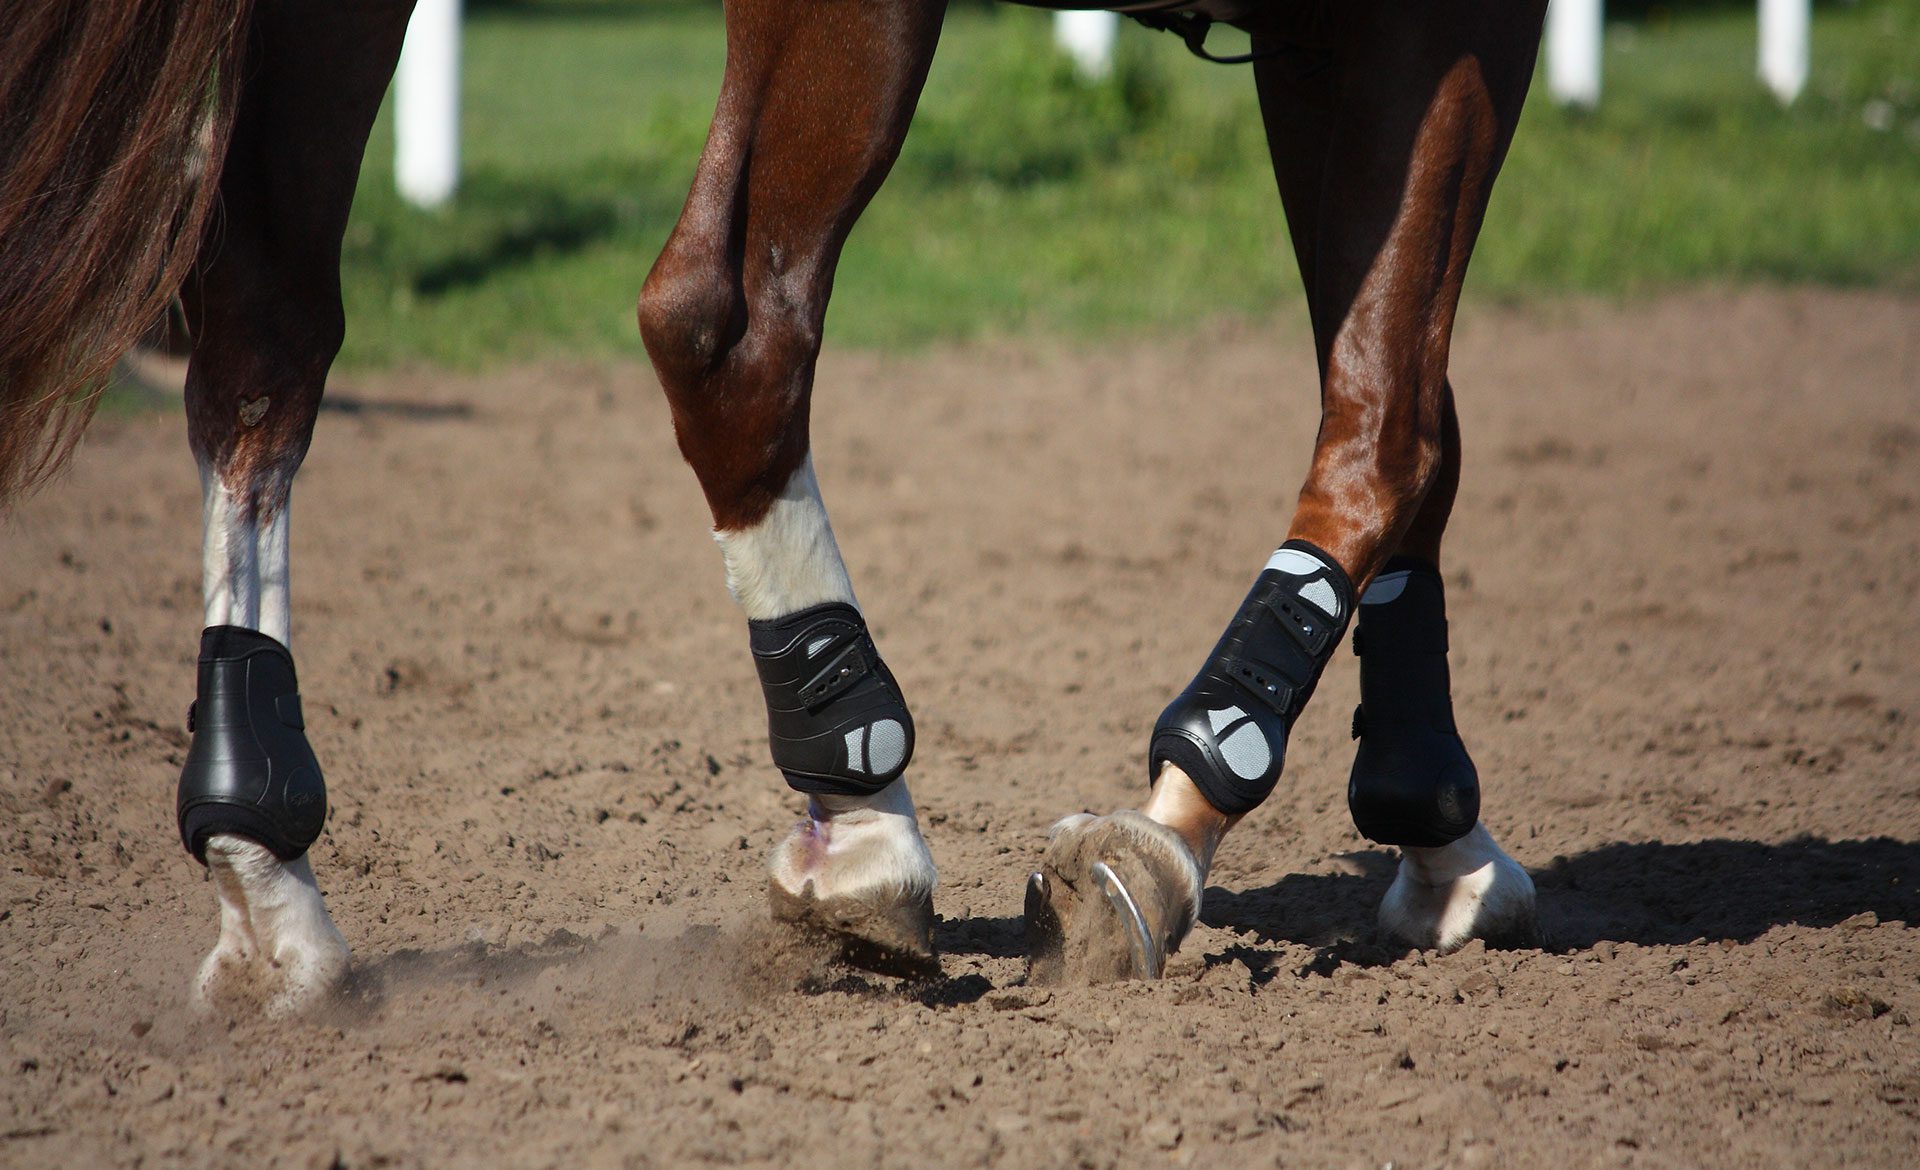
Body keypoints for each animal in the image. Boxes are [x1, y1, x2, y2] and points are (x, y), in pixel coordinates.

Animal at [0, 0, 1545, 1014]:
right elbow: (1395, 417)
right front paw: (1190, 812)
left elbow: (1405, 398)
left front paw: (1432, 821)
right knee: (728, 319)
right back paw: (860, 800)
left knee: (260, 340)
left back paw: (264, 865)